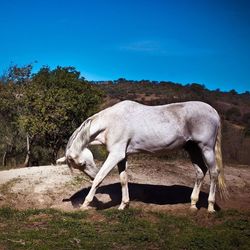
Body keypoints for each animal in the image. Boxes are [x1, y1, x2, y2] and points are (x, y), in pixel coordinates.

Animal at [57, 100, 229, 212]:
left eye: (82, 164)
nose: (91, 175)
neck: (111, 122)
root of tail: (214, 112)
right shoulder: (122, 156)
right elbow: (123, 179)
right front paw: (123, 205)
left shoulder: (115, 155)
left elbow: (100, 178)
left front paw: (85, 204)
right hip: (192, 149)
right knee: (200, 172)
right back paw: (193, 204)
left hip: (206, 148)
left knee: (214, 173)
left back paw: (210, 207)